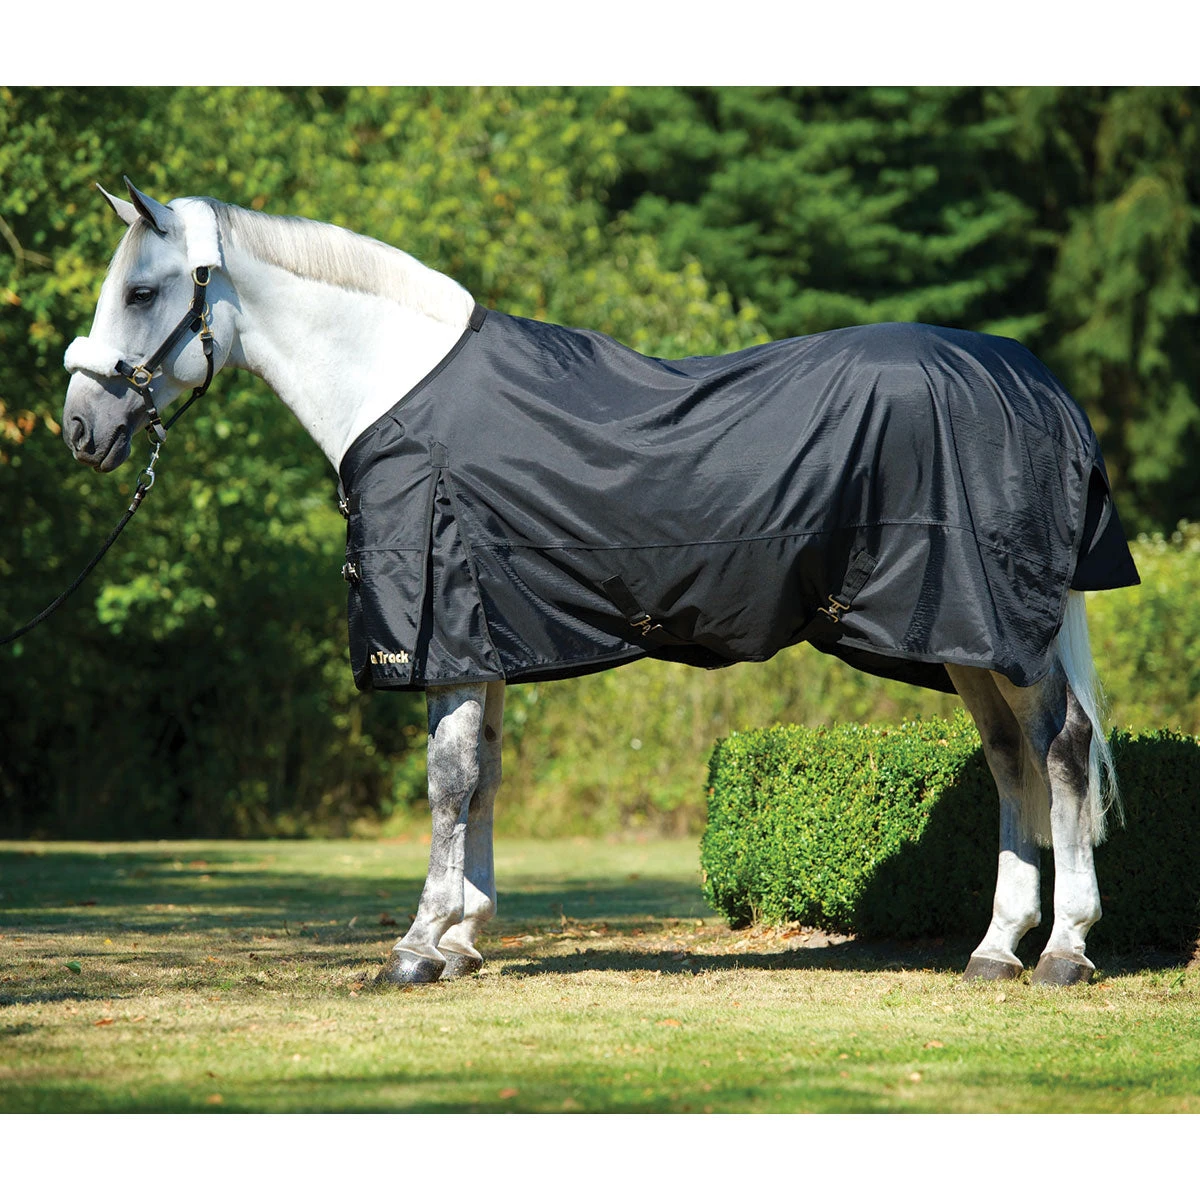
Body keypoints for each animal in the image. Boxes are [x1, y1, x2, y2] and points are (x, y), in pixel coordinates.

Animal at [62, 180, 1140, 989]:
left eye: (143, 292)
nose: (79, 425)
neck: (395, 387)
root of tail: (1040, 388)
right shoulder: (484, 640)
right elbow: (483, 777)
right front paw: (463, 941)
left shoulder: (446, 633)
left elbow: (447, 783)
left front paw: (416, 948)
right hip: (967, 639)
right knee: (1008, 758)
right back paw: (995, 949)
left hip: (1003, 632)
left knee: (1060, 749)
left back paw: (1066, 951)